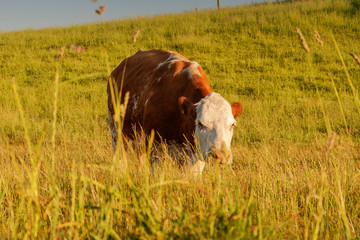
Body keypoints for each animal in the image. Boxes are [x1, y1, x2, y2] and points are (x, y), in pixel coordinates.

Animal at [107, 49, 242, 167]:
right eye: (200, 124)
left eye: (232, 125)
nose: (220, 156)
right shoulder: (156, 151)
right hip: (116, 132)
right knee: (121, 158)